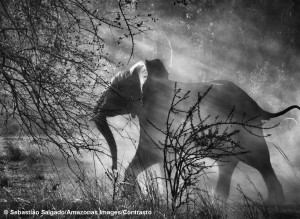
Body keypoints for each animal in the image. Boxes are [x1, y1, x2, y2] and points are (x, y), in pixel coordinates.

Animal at [92, 58, 298, 204]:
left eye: (117, 88)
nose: (112, 169)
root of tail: (257, 106)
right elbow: (157, 158)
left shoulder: (159, 116)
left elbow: (152, 153)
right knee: (232, 164)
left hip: (246, 128)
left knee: (259, 160)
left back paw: (273, 203)